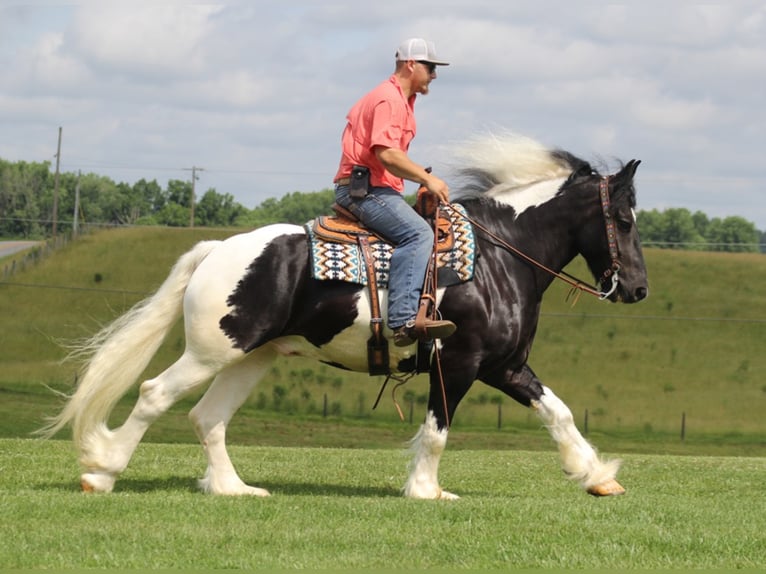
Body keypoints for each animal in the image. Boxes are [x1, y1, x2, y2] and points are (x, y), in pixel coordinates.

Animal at [43, 134, 648, 500]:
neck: (497, 258)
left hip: (250, 358)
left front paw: (597, 476)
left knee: (207, 418)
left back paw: (232, 488)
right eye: (623, 219)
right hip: (212, 351)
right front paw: (426, 491)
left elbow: (559, 414)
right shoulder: (458, 363)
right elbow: (436, 431)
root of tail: (217, 250)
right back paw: (102, 471)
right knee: (154, 396)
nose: (638, 289)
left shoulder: (506, 366)